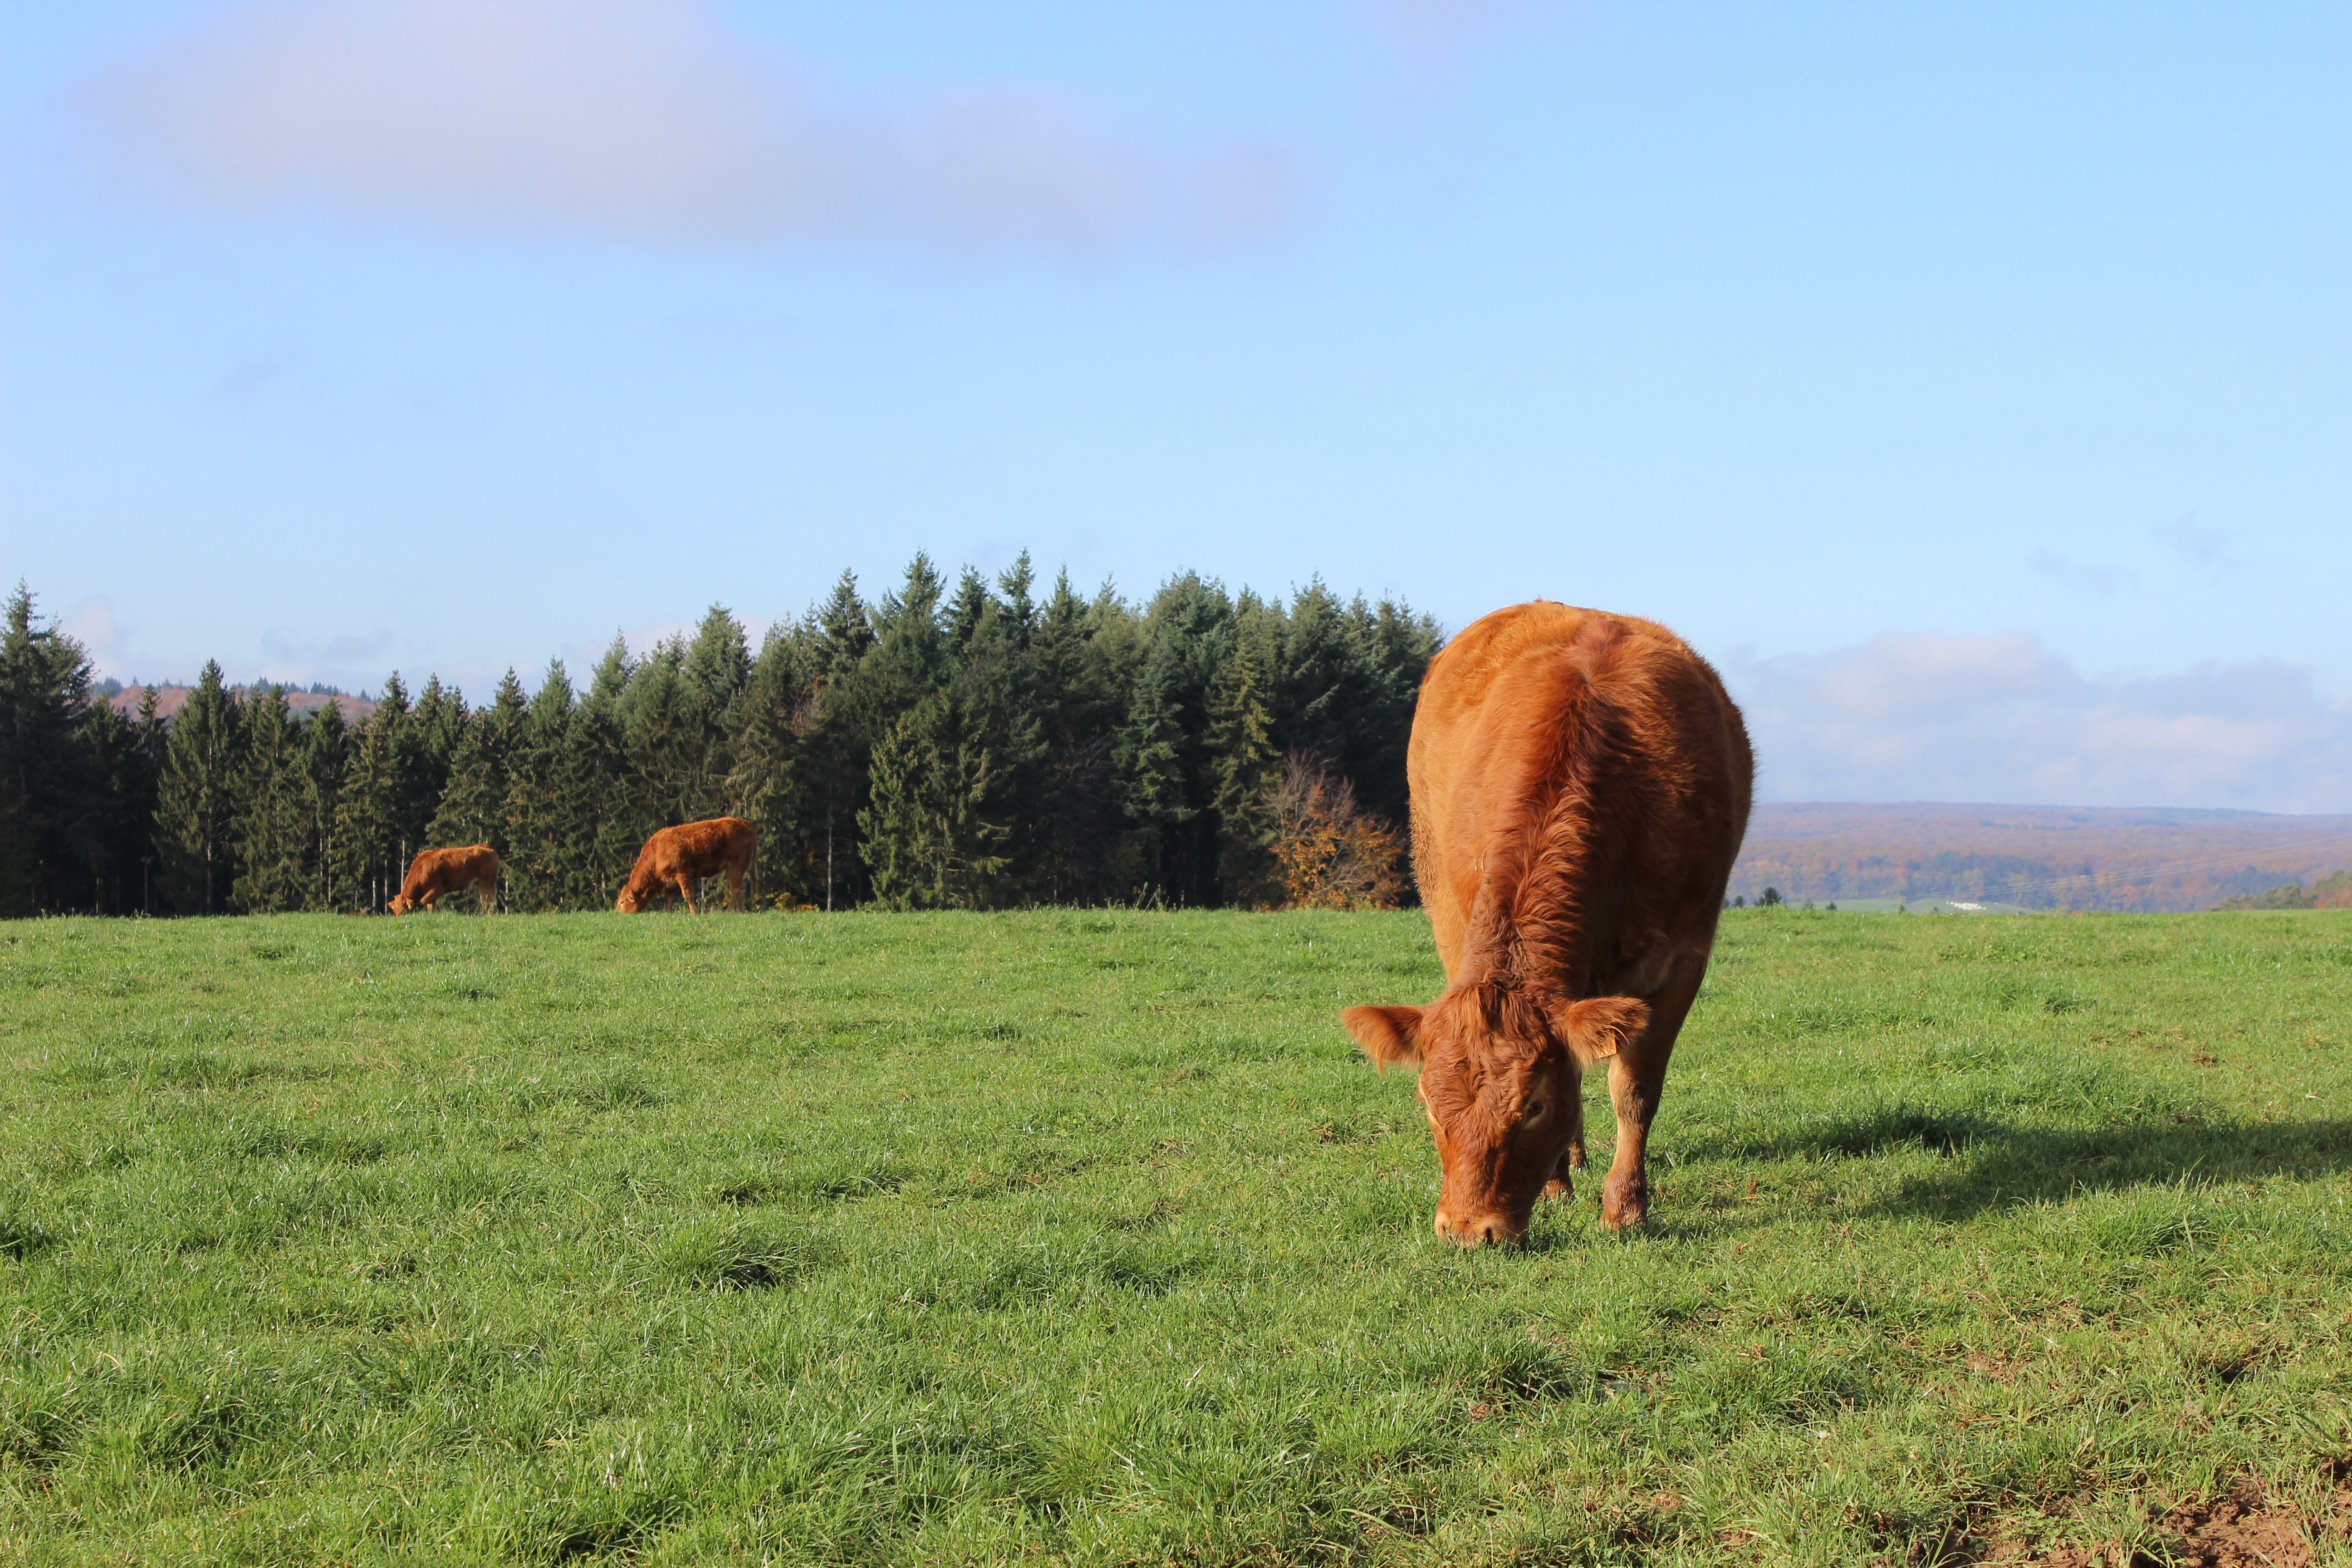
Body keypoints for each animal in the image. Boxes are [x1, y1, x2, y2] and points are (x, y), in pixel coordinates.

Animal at [388, 846, 499, 921]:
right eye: (394, 911)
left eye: (404, 910)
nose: (399, 919)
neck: (422, 868)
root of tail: (487, 847)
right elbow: (431, 907)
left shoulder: (438, 890)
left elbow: (423, 901)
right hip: (482, 884)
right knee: (488, 900)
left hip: (486, 883)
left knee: (487, 901)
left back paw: (486, 916)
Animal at [616, 818, 752, 912]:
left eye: (622, 902)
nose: (618, 913)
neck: (656, 852)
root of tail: (744, 823)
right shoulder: (669, 882)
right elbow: (668, 901)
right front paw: (667, 914)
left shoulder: (682, 874)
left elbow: (688, 895)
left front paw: (694, 914)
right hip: (735, 869)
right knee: (740, 890)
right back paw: (740, 912)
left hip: (735, 867)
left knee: (735, 890)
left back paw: (729, 912)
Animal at [1345, 606, 1749, 1250]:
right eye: (1429, 1103)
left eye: (1532, 1107)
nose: (1469, 1230)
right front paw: (1560, 1184)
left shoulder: (1684, 956)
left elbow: (1635, 1088)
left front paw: (1625, 1208)